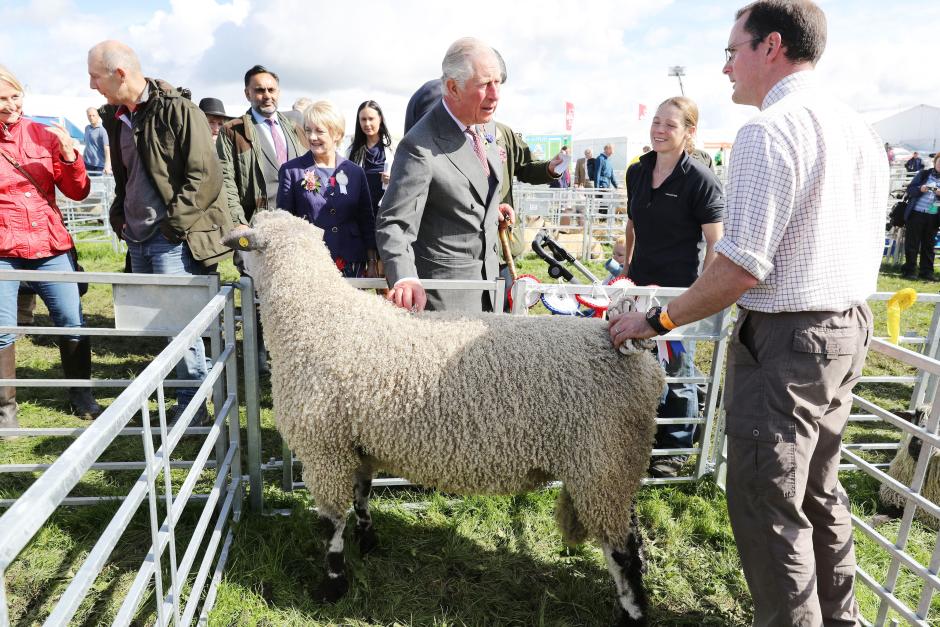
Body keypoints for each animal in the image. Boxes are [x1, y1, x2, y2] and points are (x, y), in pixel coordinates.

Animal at [224, 212, 664, 627]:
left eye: (247, 239)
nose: (232, 258)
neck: (314, 317)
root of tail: (640, 360)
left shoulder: (323, 449)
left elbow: (331, 524)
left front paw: (332, 586)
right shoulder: (357, 444)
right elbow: (362, 497)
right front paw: (369, 542)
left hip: (601, 466)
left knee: (623, 553)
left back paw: (632, 615)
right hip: (617, 466)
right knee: (634, 538)